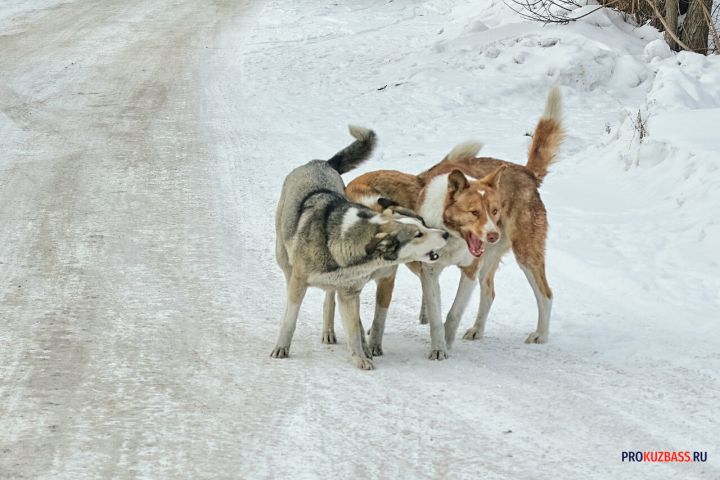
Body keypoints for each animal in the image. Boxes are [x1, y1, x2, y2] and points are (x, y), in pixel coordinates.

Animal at [272, 125, 448, 370]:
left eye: (423, 222)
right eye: (418, 234)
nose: (445, 234)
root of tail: (321, 162)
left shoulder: (351, 292)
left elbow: (355, 328)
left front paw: (361, 357)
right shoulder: (299, 284)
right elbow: (290, 319)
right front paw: (281, 348)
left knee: (329, 297)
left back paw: (329, 331)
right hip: (284, 257)